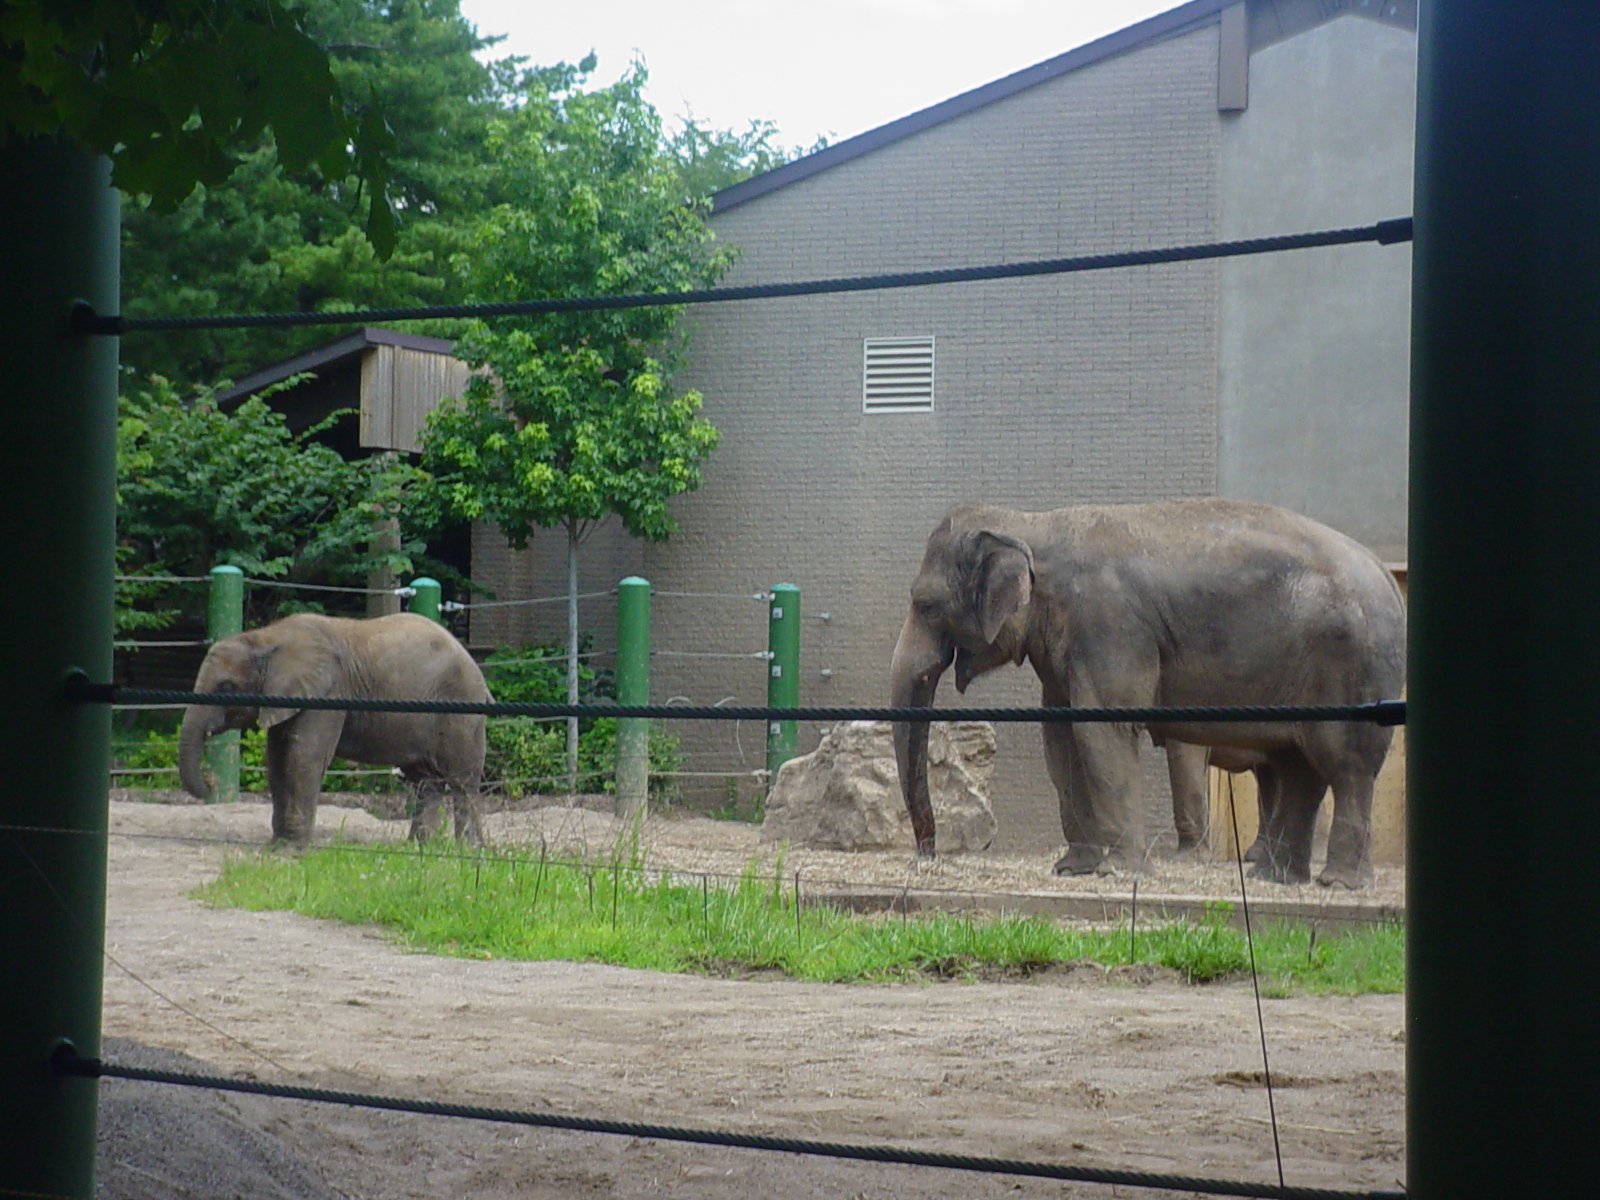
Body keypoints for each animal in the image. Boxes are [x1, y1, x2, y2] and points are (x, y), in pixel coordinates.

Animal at [179, 612, 490, 848]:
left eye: (226, 687)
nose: (209, 782)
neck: (267, 638)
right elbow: (277, 759)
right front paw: (277, 845)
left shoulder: (328, 692)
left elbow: (304, 755)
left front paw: (292, 850)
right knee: (425, 782)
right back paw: (420, 848)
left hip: (461, 711)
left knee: (462, 783)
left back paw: (468, 850)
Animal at [889, 498, 1405, 888]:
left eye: (926, 604)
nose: (928, 854)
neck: (1032, 524)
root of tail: (1387, 575)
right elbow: (1061, 739)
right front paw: (1071, 869)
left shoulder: (1108, 623)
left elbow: (1104, 731)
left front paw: (1115, 872)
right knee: (1300, 766)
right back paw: (1274, 878)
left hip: (1352, 664)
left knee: (1344, 764)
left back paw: (1336, 883)